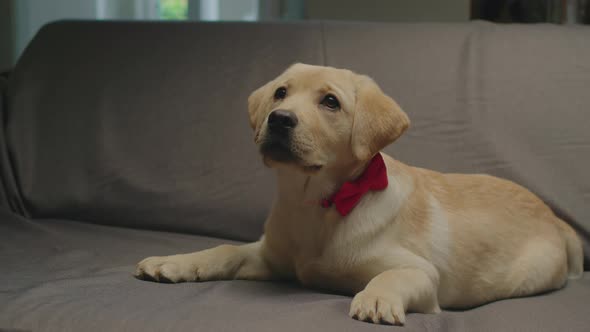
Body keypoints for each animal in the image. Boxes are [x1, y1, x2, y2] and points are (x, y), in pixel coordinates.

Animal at [136, 63, 584, 326]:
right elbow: (224, 250)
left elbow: (391, 275)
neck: (315, 204)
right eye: (280, 93)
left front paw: (377, 298)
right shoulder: (268, 256)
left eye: (330, 102)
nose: (279, 119)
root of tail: (554, 217)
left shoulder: (422, 273)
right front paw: (177, 262)